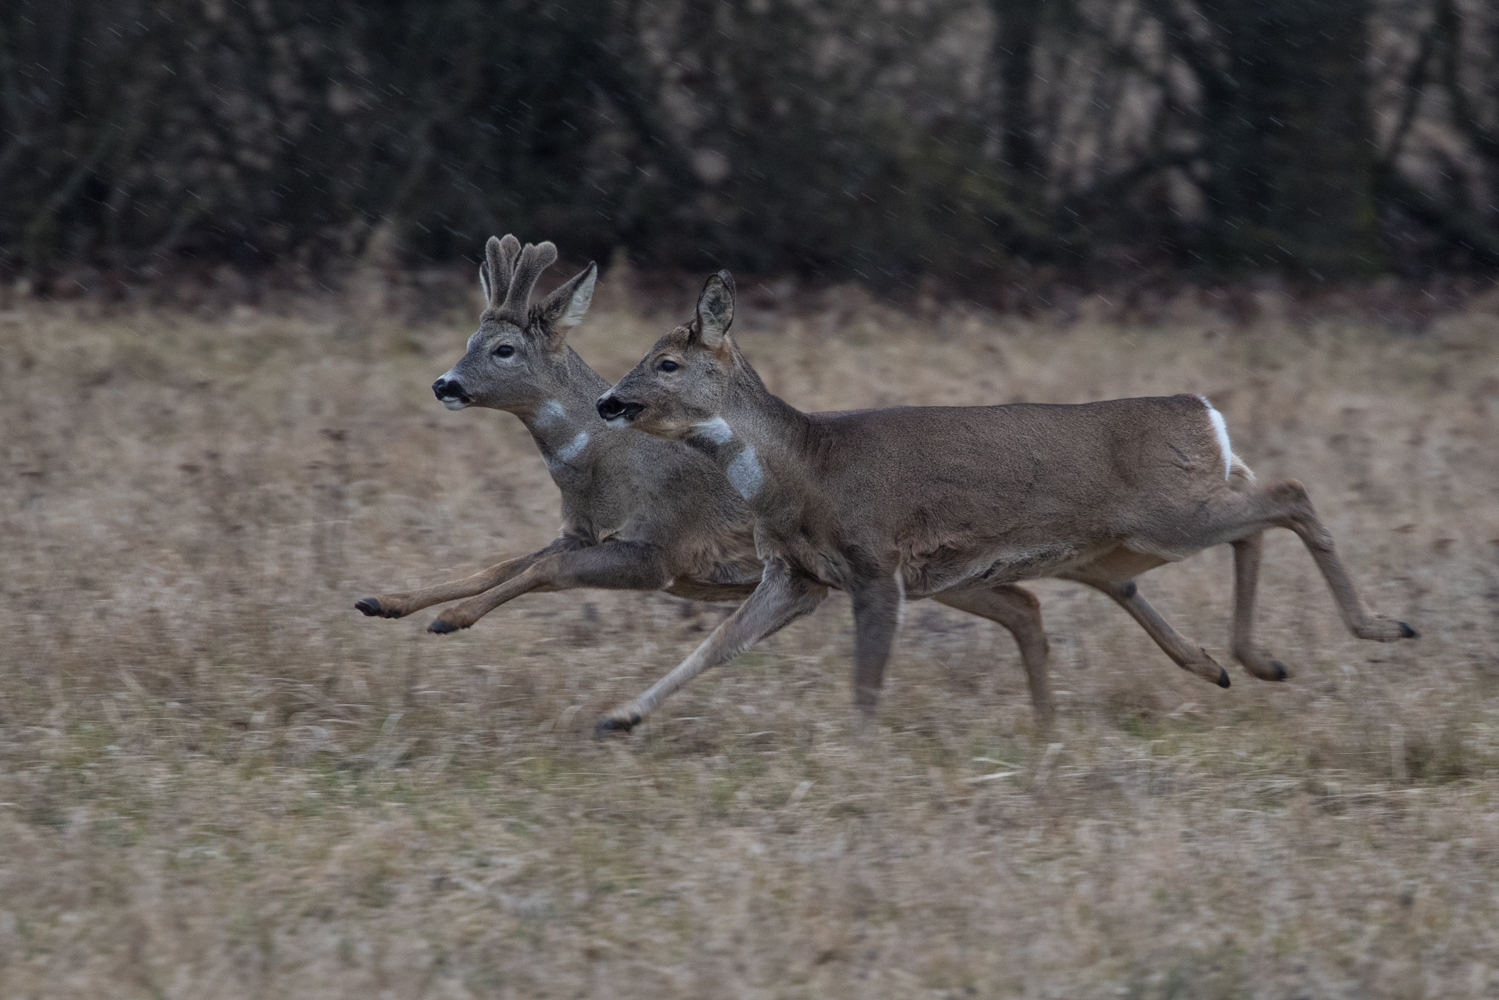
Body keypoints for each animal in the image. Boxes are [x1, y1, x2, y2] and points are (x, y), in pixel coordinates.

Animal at [596, 269, 1415, 731]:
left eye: (665, 364)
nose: (608, 401)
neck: (804, 466)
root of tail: (1203, 410)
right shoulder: (798, 575)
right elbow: (716, 645)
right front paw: (620, 716)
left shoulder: (873, 561)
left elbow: (866, 679)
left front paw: (858, 754)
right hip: (1123, 537)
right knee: (1230, 524)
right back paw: (1236, 663)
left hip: (1165, 515)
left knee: (1288, 492)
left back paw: (1376, 627)